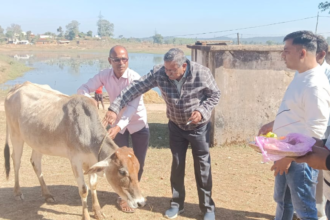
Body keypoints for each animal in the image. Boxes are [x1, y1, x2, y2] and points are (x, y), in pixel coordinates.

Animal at [3, 81, 146, 219]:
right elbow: (83, 189)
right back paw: (18, 192)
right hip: (16, 135)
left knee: (35, 162)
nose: (141, 202)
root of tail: (17, 87)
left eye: (137, 169)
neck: (87, 128)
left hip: (38, 141)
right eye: (122, 172)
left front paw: (98, 212)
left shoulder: (92, 161)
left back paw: (47, 194)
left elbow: (93, 185)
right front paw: (86, 216)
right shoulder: (75, 160)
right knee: (16, 161)